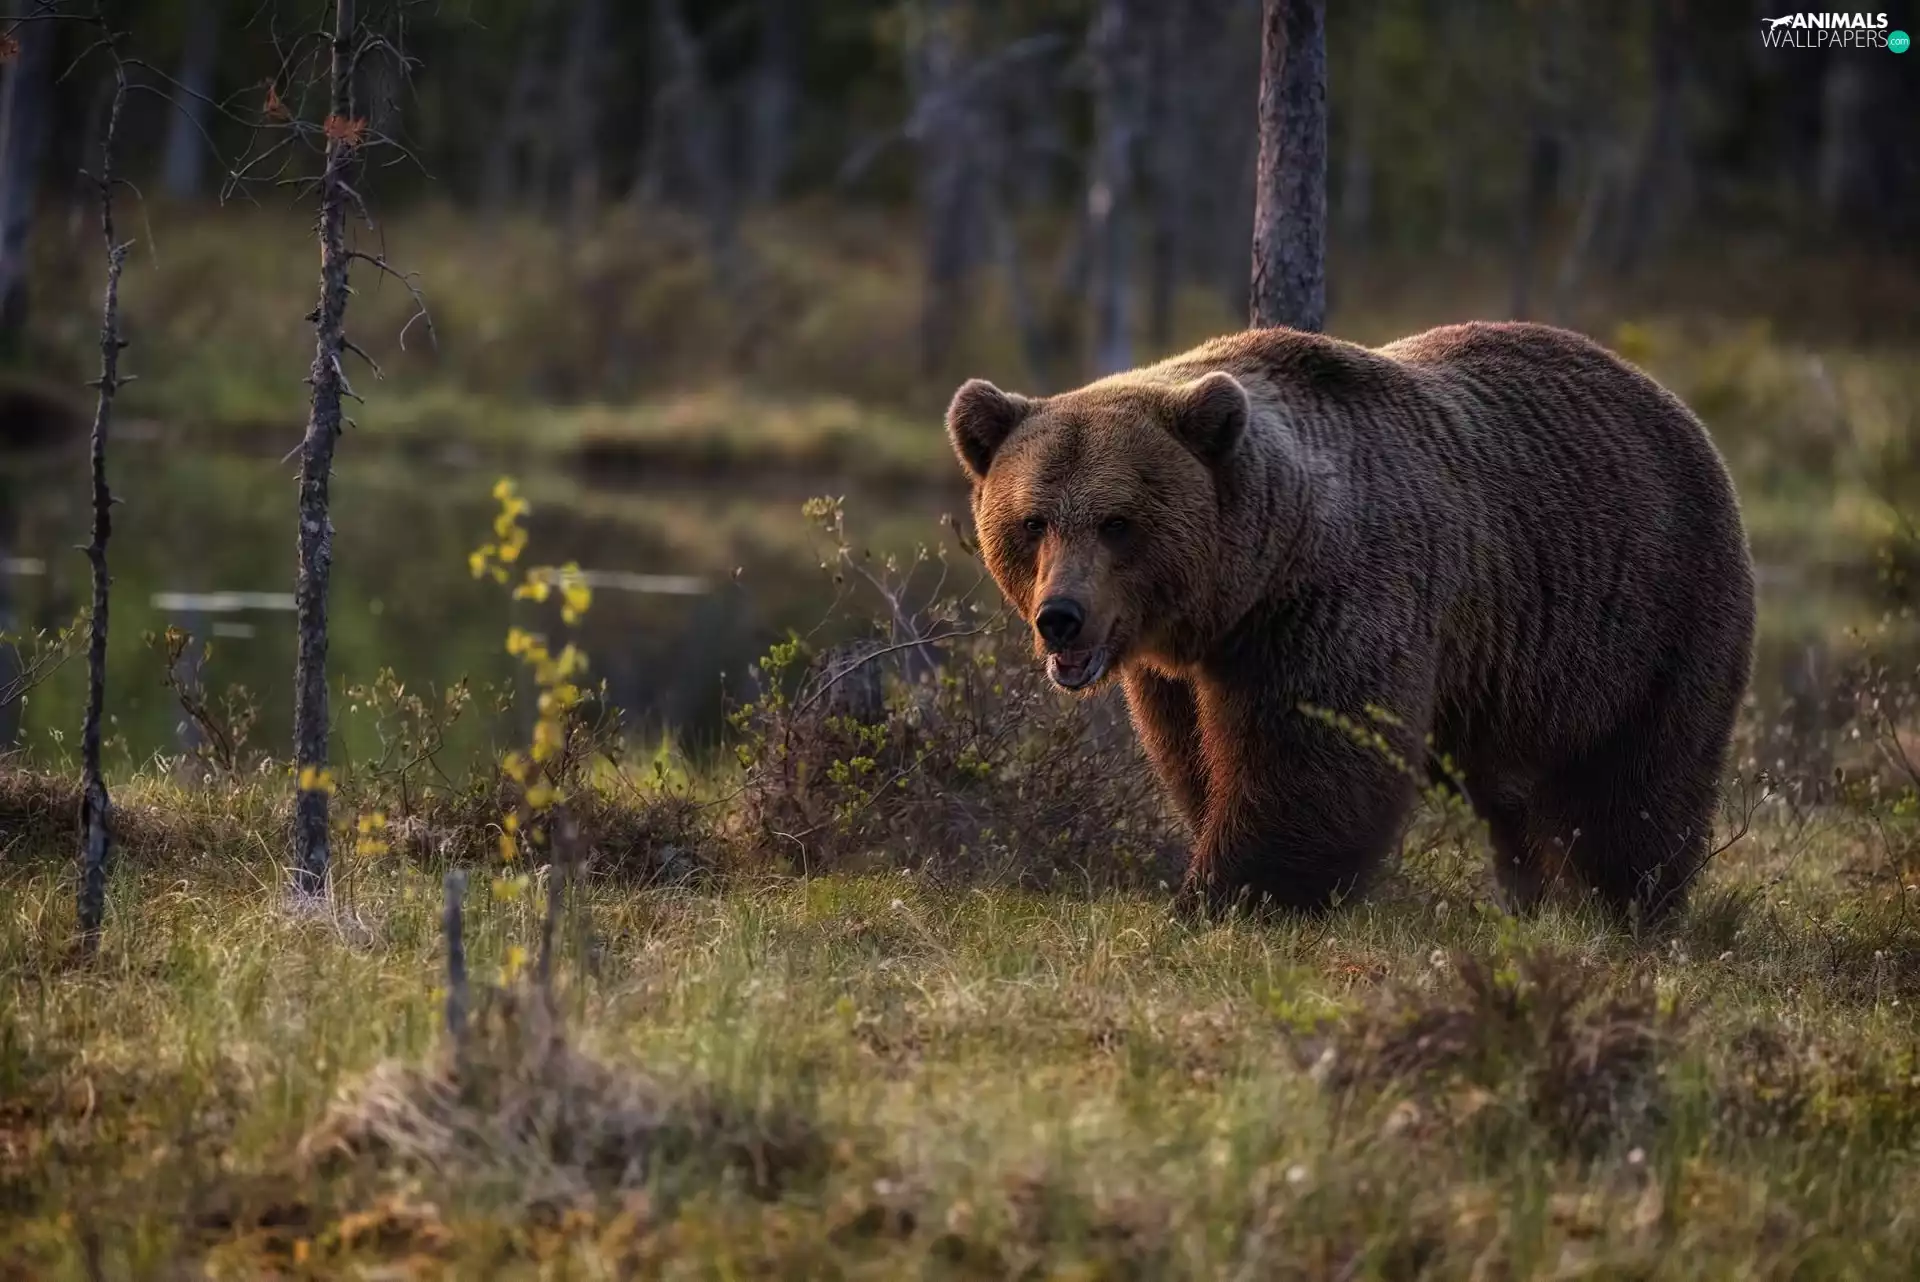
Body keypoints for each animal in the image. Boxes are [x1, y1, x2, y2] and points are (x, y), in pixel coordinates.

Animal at [945, 322, 1756, 925]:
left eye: (1118, 523)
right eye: (1032, 521)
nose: (1062, 619)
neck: (1251, 582)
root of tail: (1672, 404)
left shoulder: (1340, 601)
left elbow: (1309, 765)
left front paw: (1223, 895)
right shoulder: (1177, 666)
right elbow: (1192, 756)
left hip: (1651, 614)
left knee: (1636, 782)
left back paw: (1620, 907)